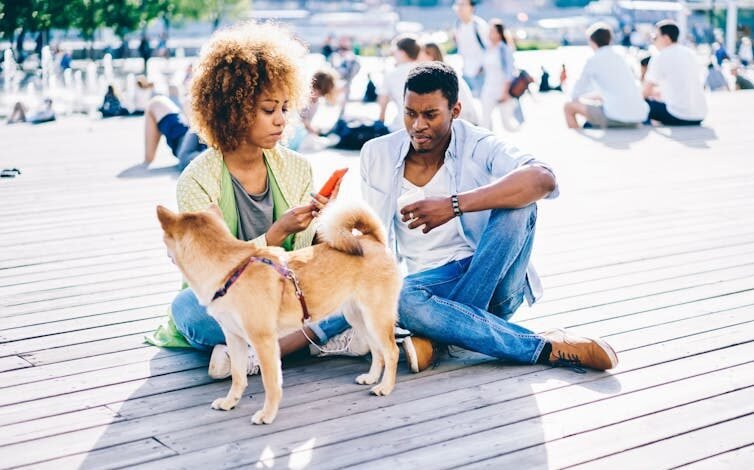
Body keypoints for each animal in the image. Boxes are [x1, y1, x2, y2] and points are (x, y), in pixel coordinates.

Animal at [156, 200, 402, 424]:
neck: (230, 271)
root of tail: (373, 239)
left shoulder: (263, 341)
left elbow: (271, 383)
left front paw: (267, 414)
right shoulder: (234, 338)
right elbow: (238, 376)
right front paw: (230, 402)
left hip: (376, 319)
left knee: (391, 352)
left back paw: (385, 387)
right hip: (359, 318)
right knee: (377, 351)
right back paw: (372, 378)